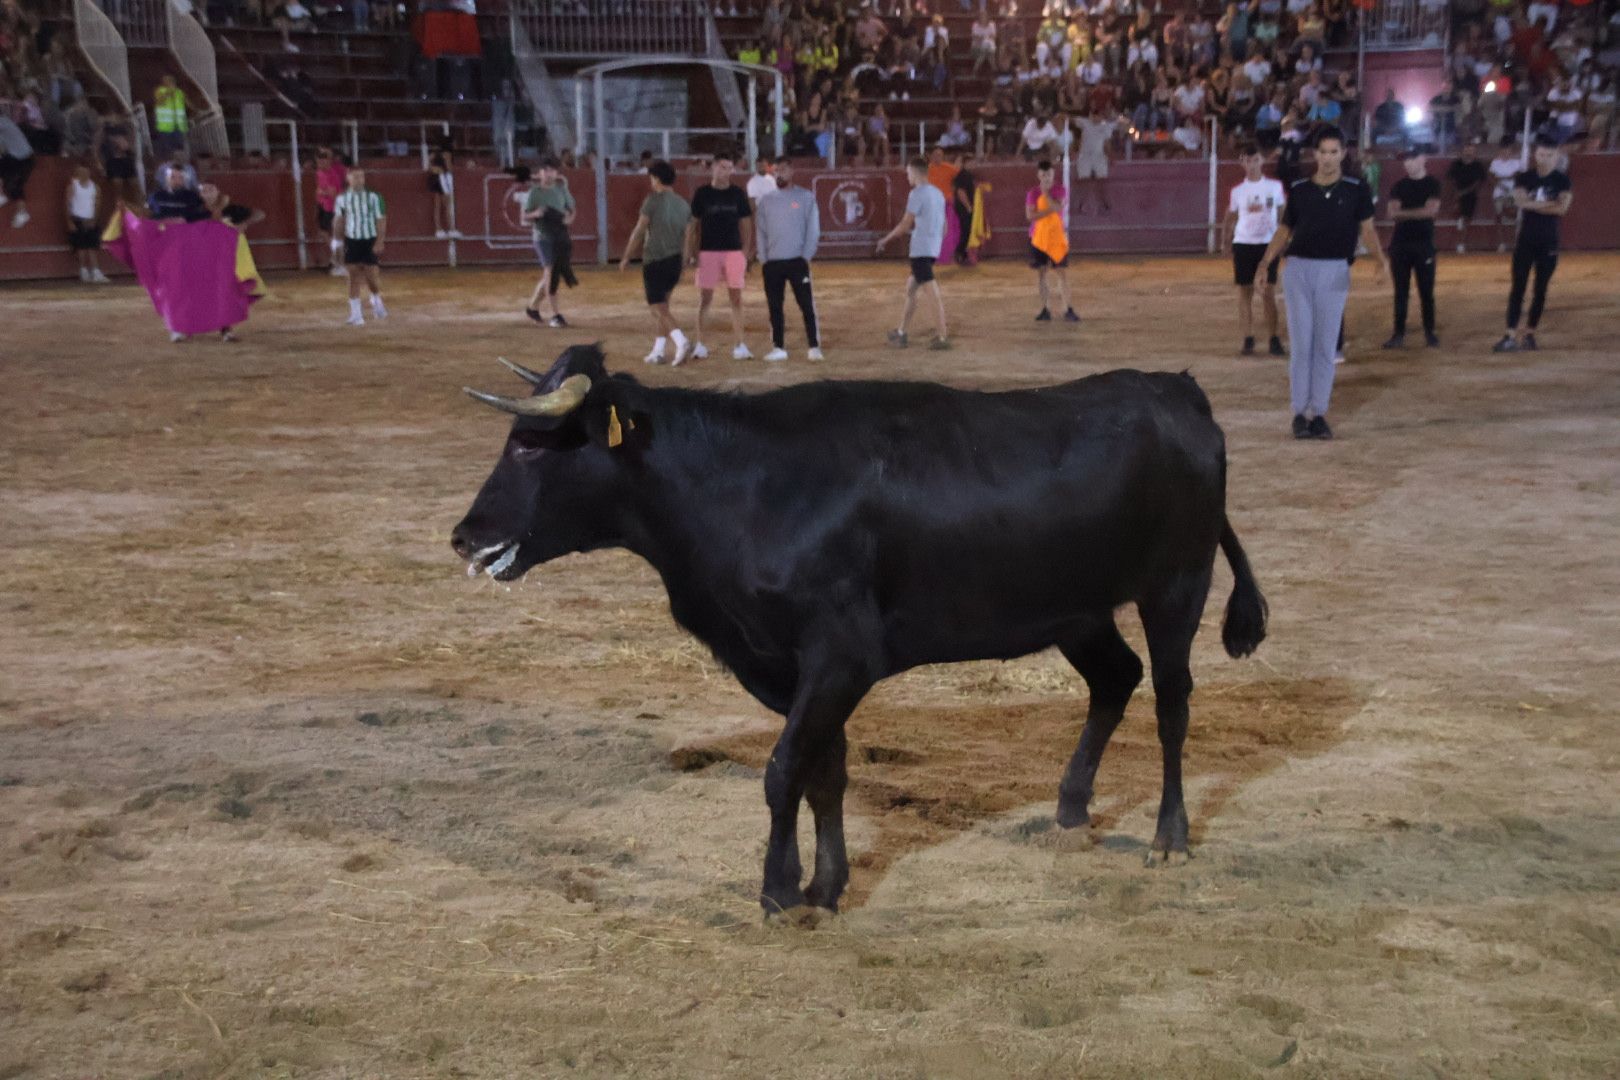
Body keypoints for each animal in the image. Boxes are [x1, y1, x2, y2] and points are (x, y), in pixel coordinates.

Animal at [453, 348, 1263, 919]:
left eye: (532, 444)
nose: (464, 536)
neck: (748, 488)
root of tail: (1178, 390)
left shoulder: (839, 657)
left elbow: (785, 769)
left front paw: (778, 893)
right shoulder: (792, 669)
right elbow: (825, 772)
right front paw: (825, 885)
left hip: (1176, 586)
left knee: (1171, 702)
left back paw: (1169, 838)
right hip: (1077, 611)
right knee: (1115, 680)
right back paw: (1067, 811)